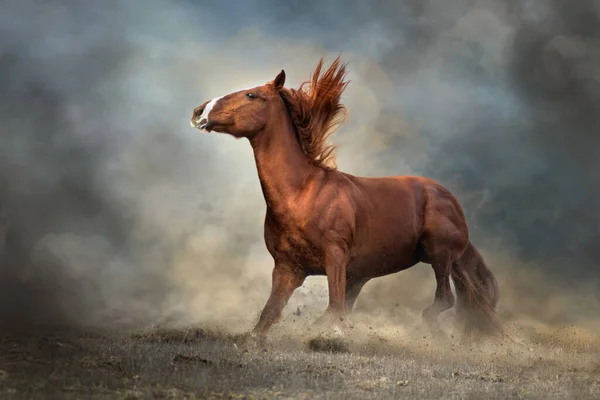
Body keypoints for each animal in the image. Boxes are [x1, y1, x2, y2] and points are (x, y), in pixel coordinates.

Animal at [191, 57, 502, 344]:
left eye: (251, 95)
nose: (199, 111)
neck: (302, 193)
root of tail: (452, 202)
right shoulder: (287, 268)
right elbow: (268, 315)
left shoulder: (335, 255)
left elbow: (334, 306)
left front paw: (331, 338)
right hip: (369, 273)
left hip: (439, 254)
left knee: (445, 299)